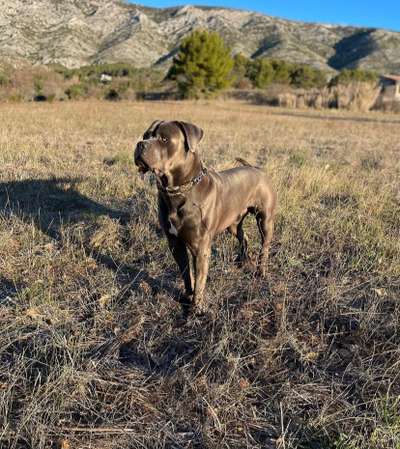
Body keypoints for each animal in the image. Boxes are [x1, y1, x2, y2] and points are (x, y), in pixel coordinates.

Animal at [134, 121, 276, 310]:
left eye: (164, 139)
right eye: (145, 135)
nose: (140, 144)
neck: (179, 191)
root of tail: (256, 168)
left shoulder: (200, 247)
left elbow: (200, 279)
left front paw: (197, 307)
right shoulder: (175, 243)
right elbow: (186, 273)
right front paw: (187, 296)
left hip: (265, 220)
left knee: (264, 246)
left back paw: (260, 271)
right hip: (232, 223)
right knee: (243, 236)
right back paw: (242, 260)